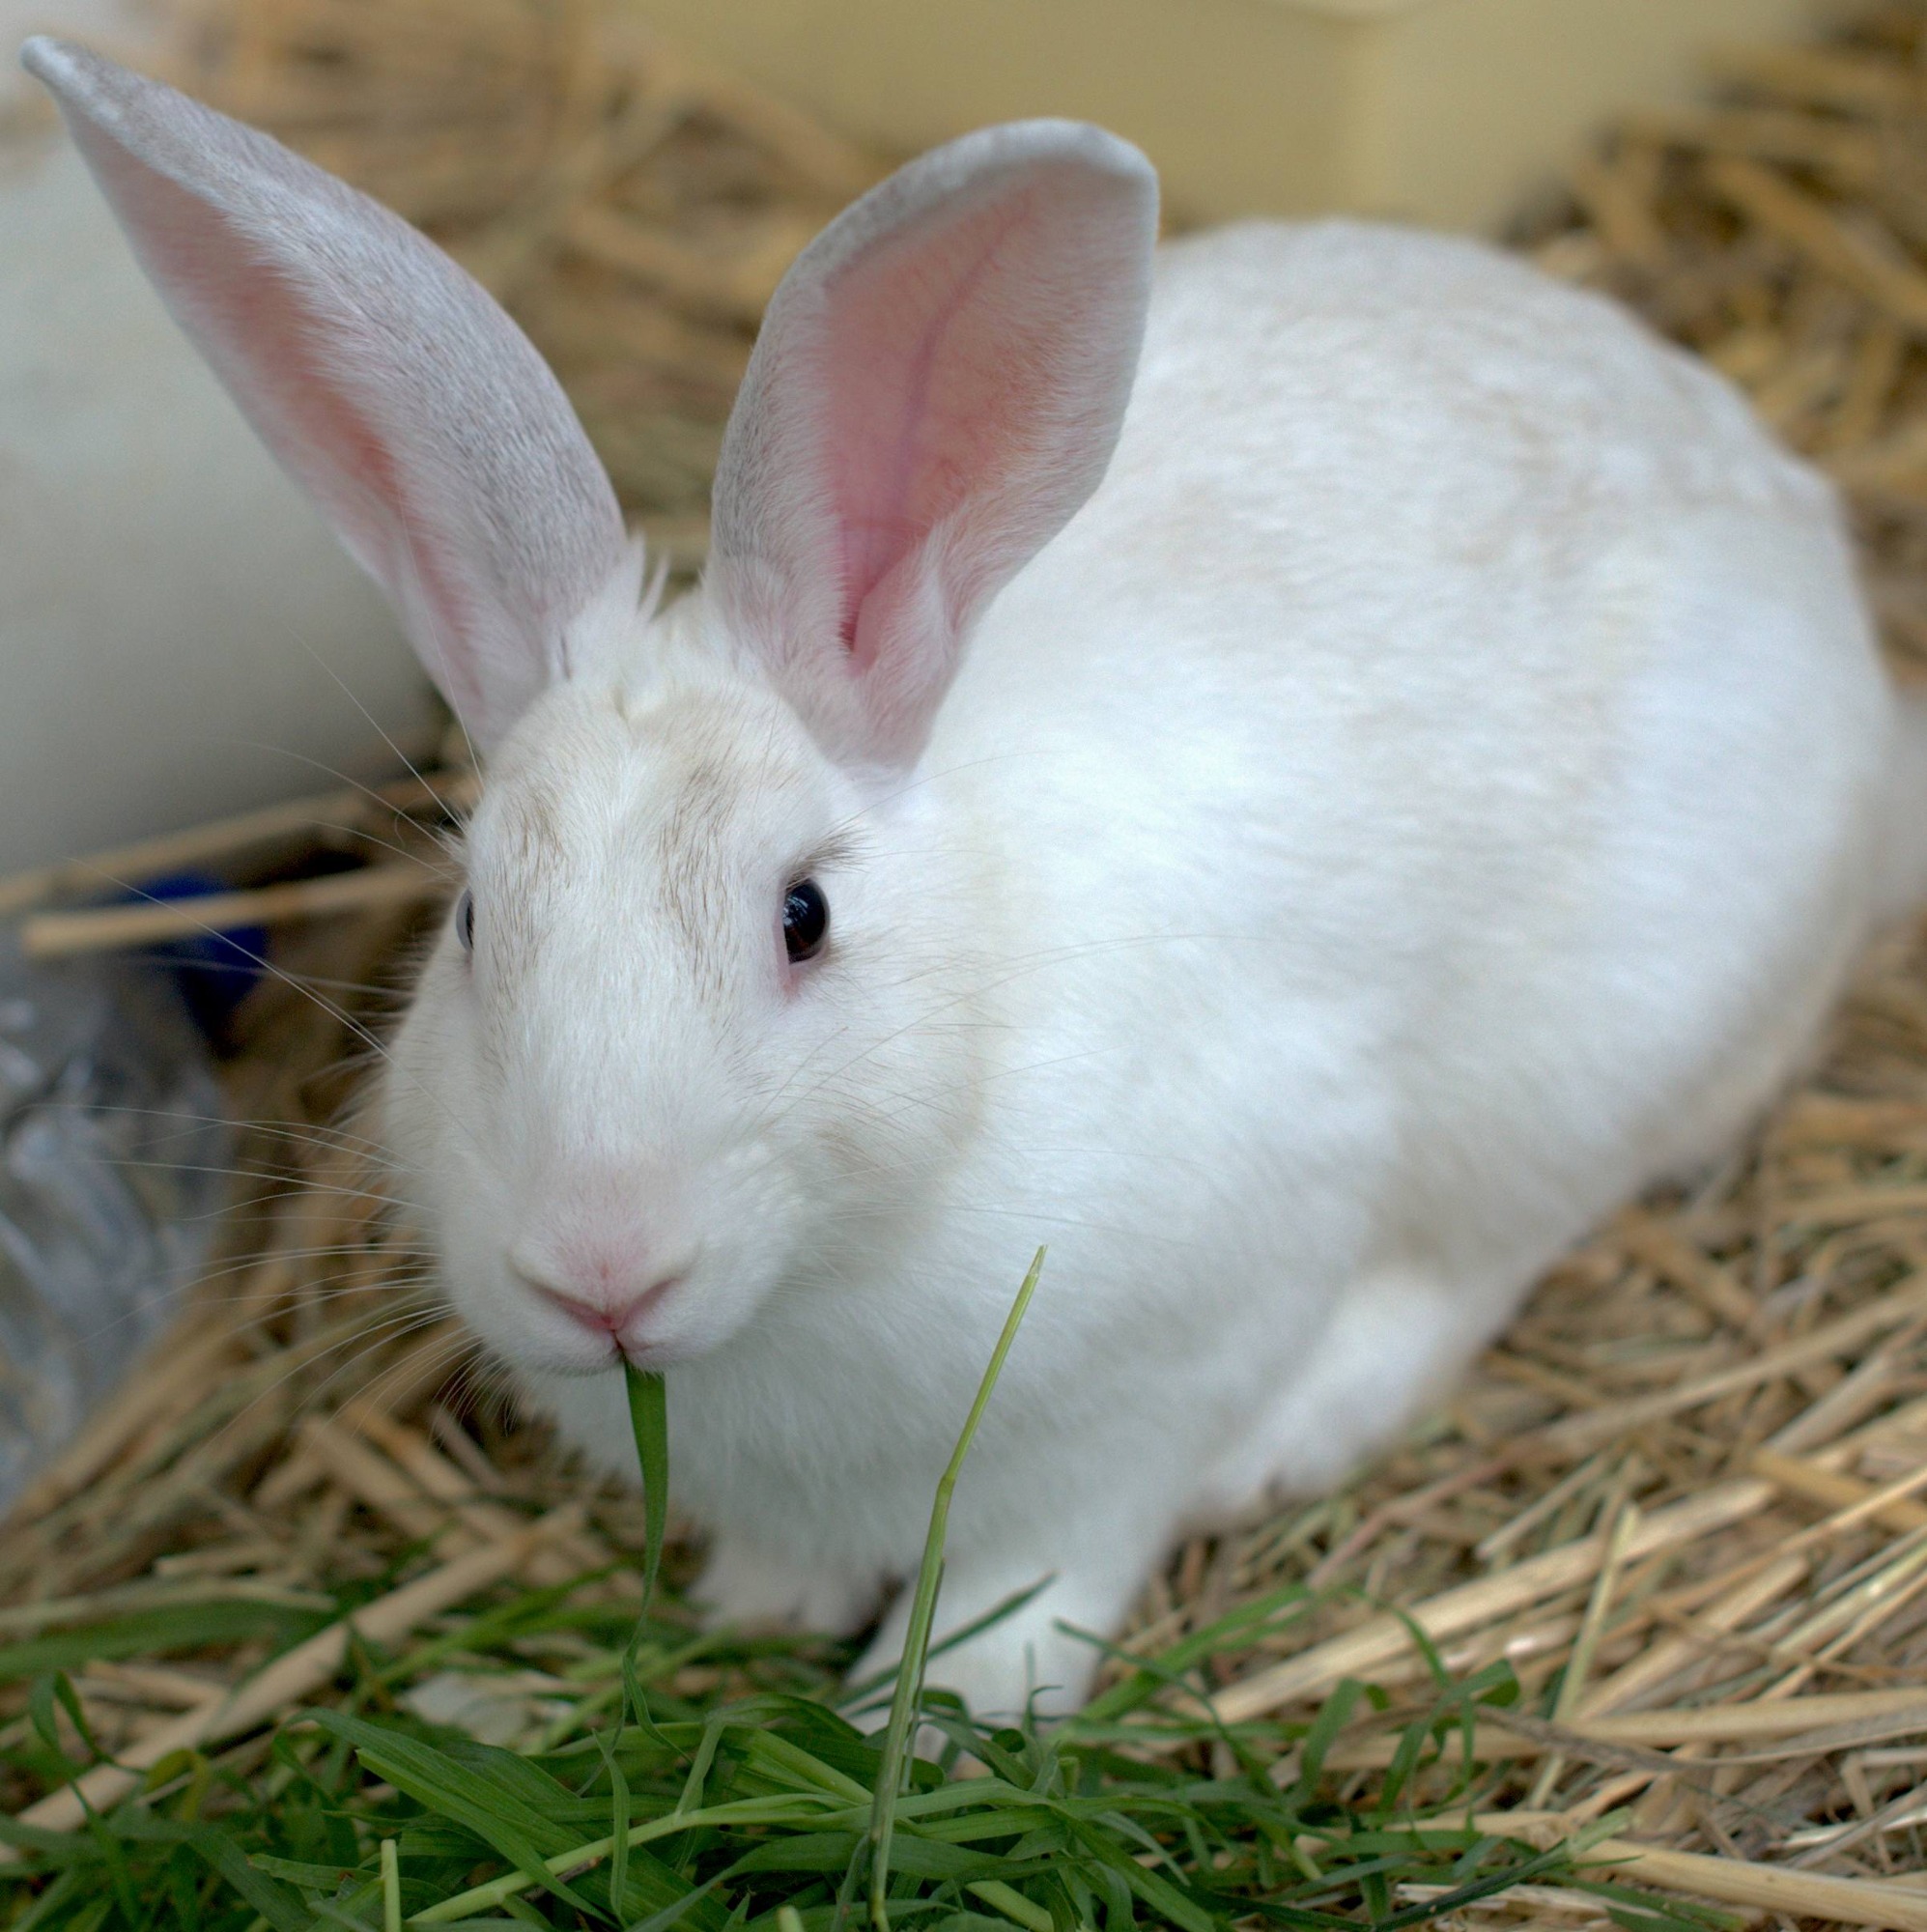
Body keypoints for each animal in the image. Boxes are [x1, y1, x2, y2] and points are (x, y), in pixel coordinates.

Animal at [29, 36, 1927, 1722]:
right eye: (477, 923)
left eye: (804, 917)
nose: (598, 1270)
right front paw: (757, 1610)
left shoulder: (1169, 1358)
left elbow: (1050, 1563)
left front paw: (937, 1714)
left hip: (1588, 1059)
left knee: (1482, 1258)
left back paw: (1294, 1437)